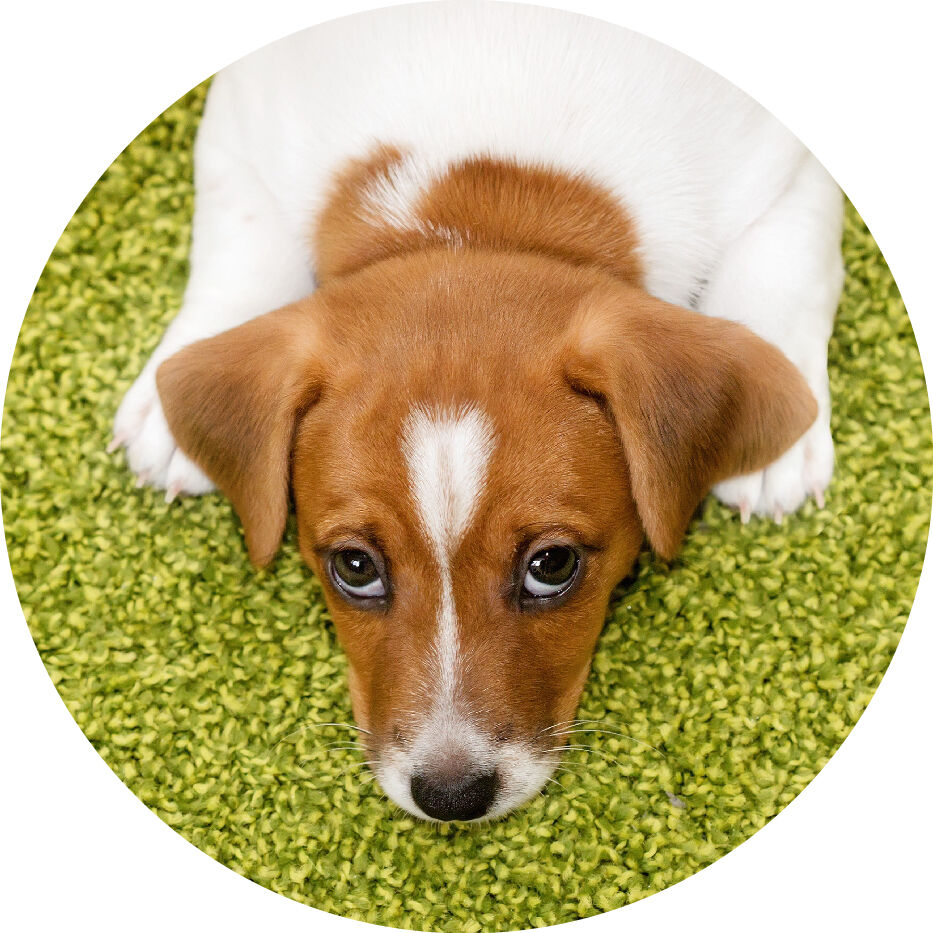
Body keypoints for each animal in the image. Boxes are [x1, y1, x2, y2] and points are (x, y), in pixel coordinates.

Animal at [109, 7, 844, 824]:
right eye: (354, 567)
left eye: (552, 565)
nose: (450, 796)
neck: (480, 204)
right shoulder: (239, 123)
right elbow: (236, 244)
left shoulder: (791, 164)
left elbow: (789, 265)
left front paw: (780, 432)